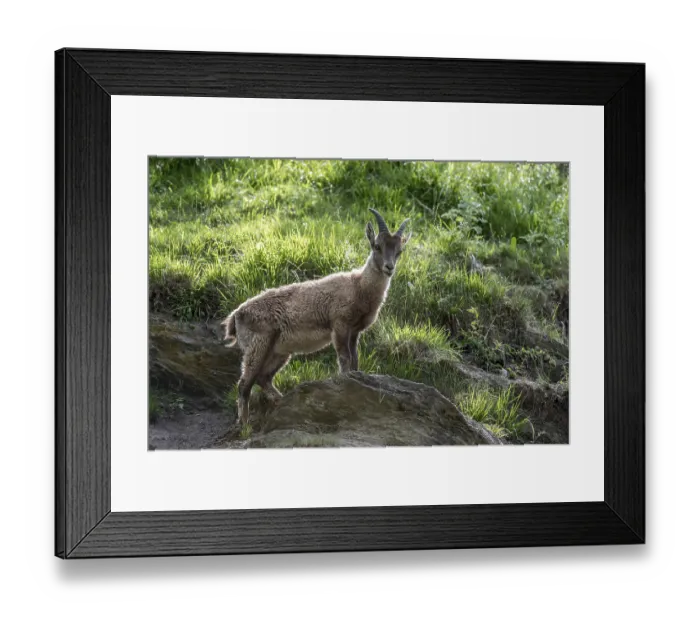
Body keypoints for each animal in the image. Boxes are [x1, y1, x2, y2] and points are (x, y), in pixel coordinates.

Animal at [221, 209, 411, 424]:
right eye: (377, 246)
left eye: (399, 251)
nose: (389, 267)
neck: (359, 287)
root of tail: (236, 315)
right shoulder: (339, 325)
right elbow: (345, 359)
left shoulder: (354, 332)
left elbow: (355, 361)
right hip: (258, 345)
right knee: (244, 384)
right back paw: (244, 424)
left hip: (278, 351)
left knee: (263, 378)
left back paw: (281, 401)